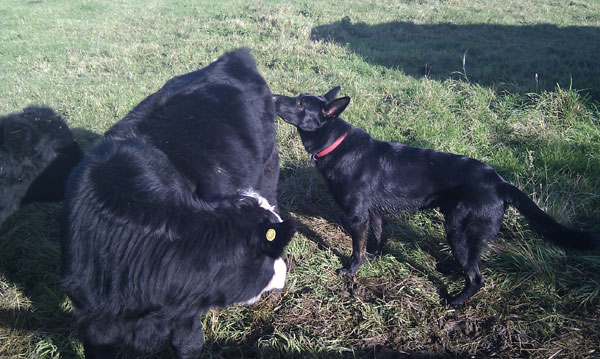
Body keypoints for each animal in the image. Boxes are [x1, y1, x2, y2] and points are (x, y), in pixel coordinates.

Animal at [61, 48, 296, 359]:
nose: (284, 272)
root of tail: (233, 57)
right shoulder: (93, 322)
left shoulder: (186, 313)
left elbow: (189, 344)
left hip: (269, 170)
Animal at [274, 86, 600, 306]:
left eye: (300, 103)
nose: (274, 97)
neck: (337, 144)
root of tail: (500, 182)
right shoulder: (373, 214)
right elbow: (377, 239)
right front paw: (376, 257)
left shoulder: (355, 217)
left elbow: (357, 250)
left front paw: (352, 270)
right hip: (464, 232)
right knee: (472, 263)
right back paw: (451, 269)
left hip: (457, 229)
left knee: (476, 276)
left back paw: (457, 300)